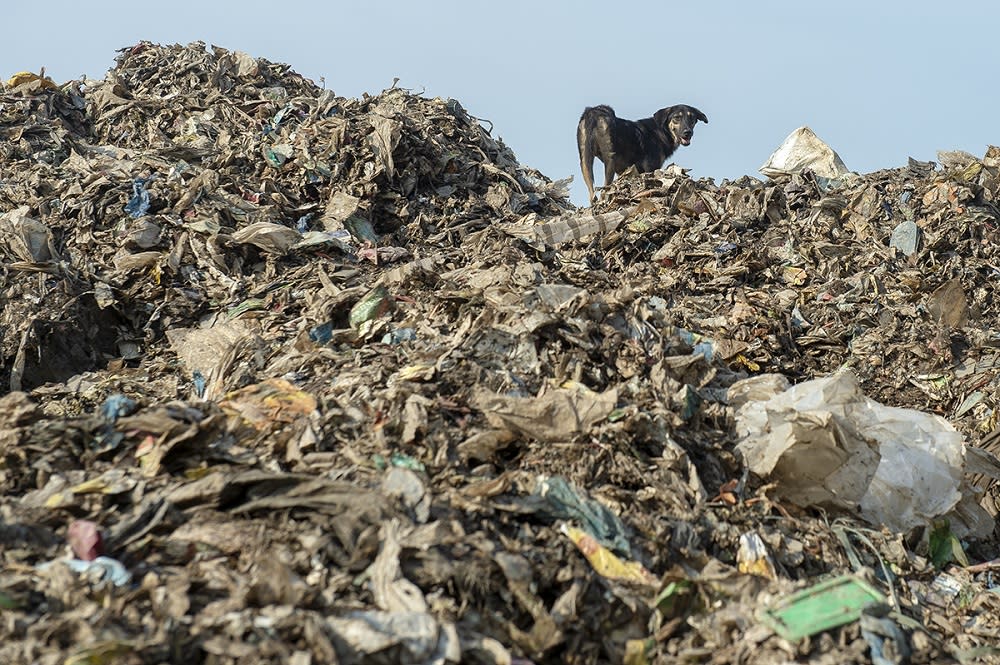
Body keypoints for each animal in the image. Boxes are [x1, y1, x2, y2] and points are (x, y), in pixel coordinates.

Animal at [576, 102, 708, 202]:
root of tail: (593, 112)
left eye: (692, 118)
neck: (661, 131)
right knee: (604, 190)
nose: (688, 132)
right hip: (609, 160)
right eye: (677, 118)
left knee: (592, 194)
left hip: (584, 161)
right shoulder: (651, 168)